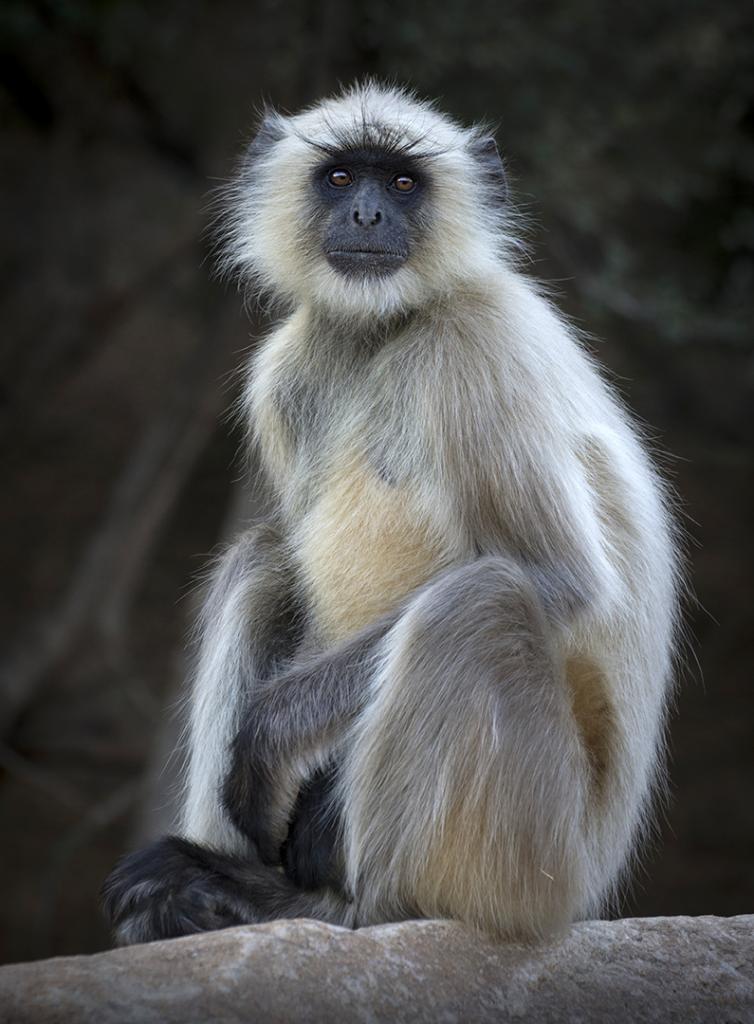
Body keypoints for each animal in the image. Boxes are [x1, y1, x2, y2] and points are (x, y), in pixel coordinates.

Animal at [102, 83, 680, 946]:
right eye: (342, 177)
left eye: (404, 183)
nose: (370, 215)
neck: (387, 329)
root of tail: (588, 883)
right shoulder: (284, 371)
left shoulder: (481, 339)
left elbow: (560, 579)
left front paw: (274, 748)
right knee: (264, 560)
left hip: (533, 853)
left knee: (476, 604)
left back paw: (331, 907)